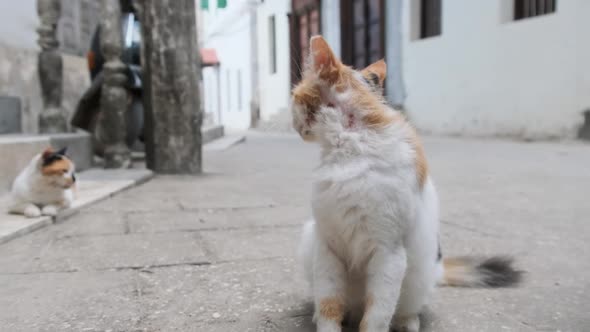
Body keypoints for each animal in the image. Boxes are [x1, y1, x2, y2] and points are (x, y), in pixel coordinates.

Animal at [292, 35, 524, 330]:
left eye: (294, 96)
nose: (295, 126)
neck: (350, 144)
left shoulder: (389, 252)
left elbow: (377, 314)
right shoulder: (327, 247)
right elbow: (329, 305)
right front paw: (326, 322)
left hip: (418, 276)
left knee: (406, 309)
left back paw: (408, 323)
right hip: (309, 242)